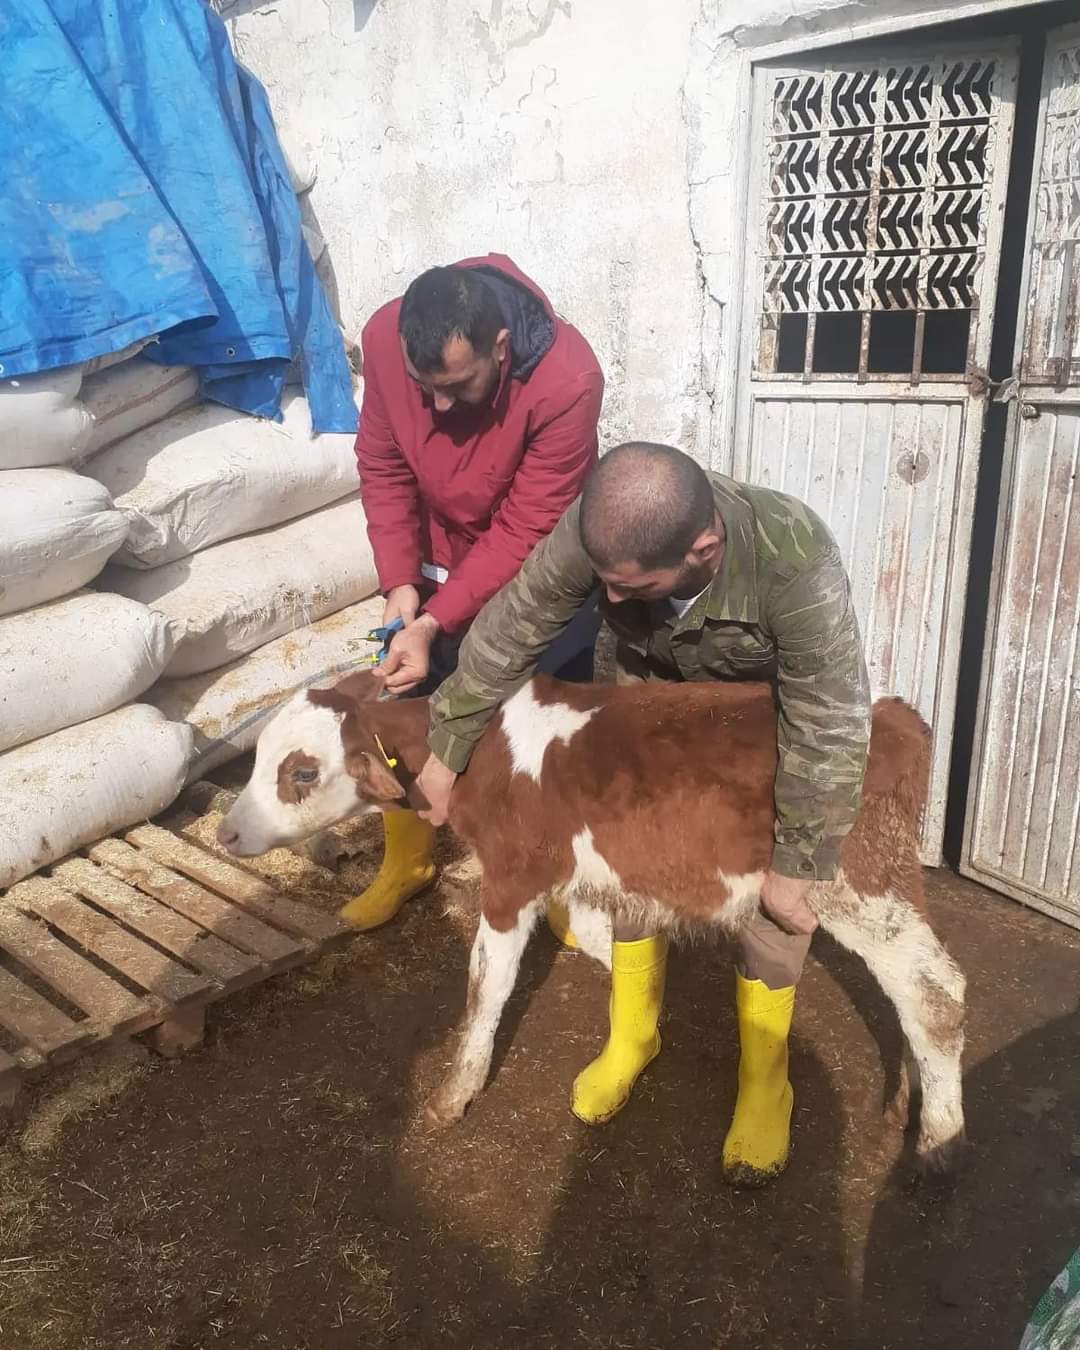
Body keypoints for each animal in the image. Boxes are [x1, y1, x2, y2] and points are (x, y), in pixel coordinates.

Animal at [217, 672, 961, 1171]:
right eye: (258, 762)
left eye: (301, 772)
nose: (226, 832)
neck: (476, 752)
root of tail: (894, 716)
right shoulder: (584, 878)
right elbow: (615, 946)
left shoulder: (512, 880)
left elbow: (485, 987)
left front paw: (454, 1094)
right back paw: (910, 1099)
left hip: (860, 886)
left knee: (935, 992)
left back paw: (938, 1139)